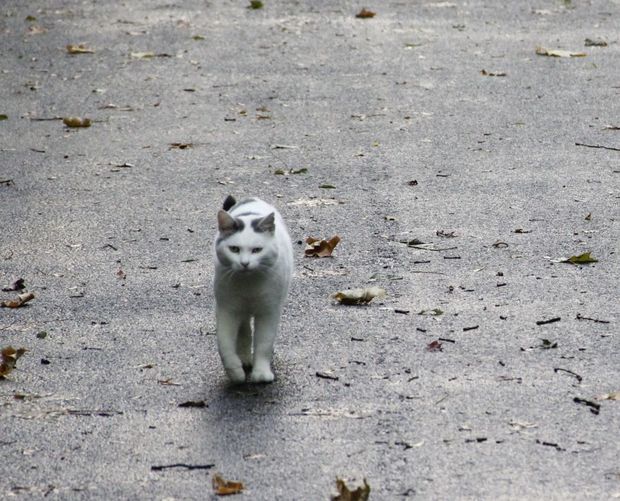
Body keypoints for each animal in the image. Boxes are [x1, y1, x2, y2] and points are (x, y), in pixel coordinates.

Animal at [213, 195, 294, 382]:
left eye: (257, 250)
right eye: (234, 249)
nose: (245, 263)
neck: (248, 284)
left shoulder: (269, 311)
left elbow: (264, 343)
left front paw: (261, 374)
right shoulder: (227, 309)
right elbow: (224, 343)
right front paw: (235, 372)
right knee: (244, 330)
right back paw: (244, 359)